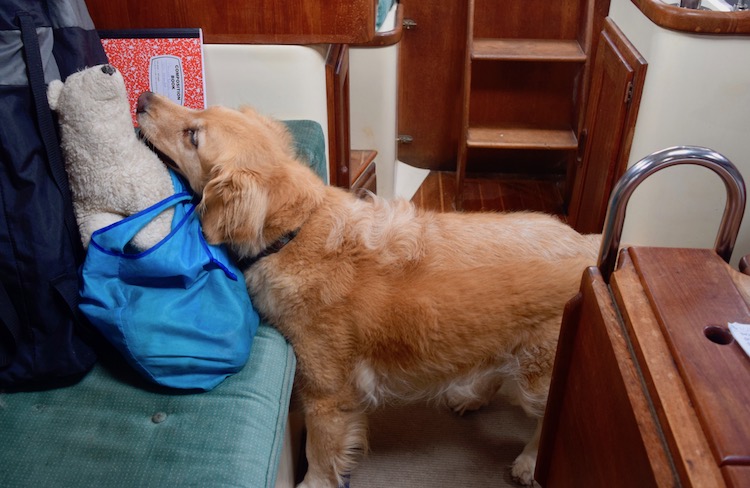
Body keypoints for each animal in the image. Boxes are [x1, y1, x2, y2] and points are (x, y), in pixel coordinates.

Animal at [138, 92, 604, 488]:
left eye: (193, 135)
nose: (142, 98)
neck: (295, 231)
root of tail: (589, 247)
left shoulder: (325, 394)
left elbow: (320, 455)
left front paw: (313, 483)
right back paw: (471, 396)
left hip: (538, 376)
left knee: (546, 419)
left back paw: (529, 461)